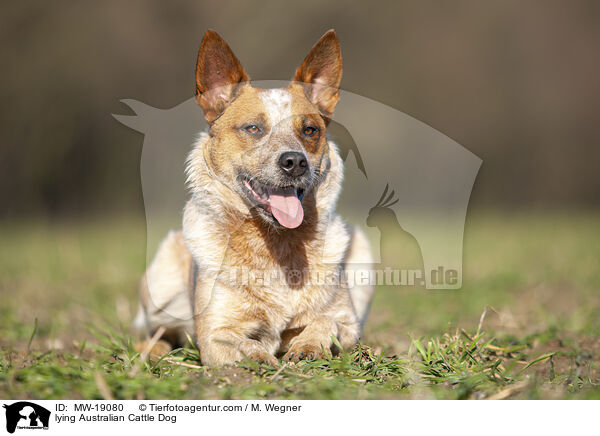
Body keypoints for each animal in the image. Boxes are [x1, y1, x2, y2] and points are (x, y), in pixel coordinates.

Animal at [134, 29, 372, 366]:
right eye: (254, 128)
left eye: (310, 130)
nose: (294, 161)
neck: (276, 245)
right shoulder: (215, 331)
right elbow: (237, 342)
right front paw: (261, 359)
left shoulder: (347, 320)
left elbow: (327, 321)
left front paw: (307, 345)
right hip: (160, 285)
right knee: (157, 332)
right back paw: (151, 350)